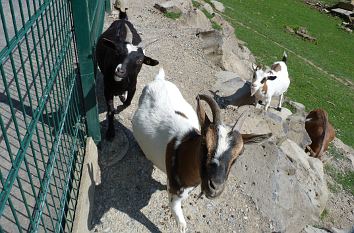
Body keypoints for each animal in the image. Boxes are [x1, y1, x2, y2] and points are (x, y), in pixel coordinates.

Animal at [96, 11, 158, 139]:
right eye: (118, 51)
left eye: (140, 61)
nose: (120, 70)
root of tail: (122, 19)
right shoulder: (107, 90)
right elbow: (111, 111)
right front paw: (110, 133)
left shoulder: (133, 87)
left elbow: (127, 103)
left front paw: (123, 102)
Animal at [131, 68, 272, 233]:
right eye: (204, 142)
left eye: (240, 154)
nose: (215, 187)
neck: (183, 148)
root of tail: (159, 80)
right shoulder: (174, 193)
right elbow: (180, 219)